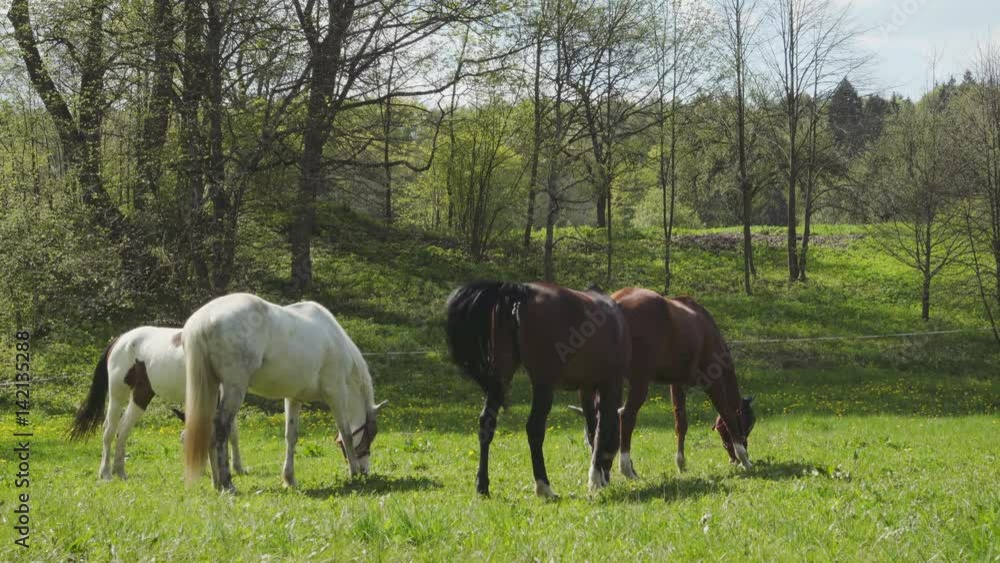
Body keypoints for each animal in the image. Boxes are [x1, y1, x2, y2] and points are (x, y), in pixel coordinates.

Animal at [69, 327, 244, 480]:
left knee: (123, 428)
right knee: (109, 430)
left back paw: (120, 472)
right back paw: (106, 473)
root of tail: (120, 339)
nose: (192, 472)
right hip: (118, 394)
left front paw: (238, 468)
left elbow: (233, 434)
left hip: (141, 395)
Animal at [182, 293, 386, 493]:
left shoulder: (294, 397)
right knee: (221, 427)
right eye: (370, 434)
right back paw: (227, 483)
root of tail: (204, 319)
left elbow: (291, 437)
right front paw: (353, 473)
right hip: (234, 387)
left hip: (214, 387)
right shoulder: (336, 393)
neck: (333, 339)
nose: (365, 471)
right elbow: (347, 434)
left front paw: (289, 479)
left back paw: (217, 482)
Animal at [446, 281, 630, 497]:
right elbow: (601, 428)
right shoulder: (609, 383)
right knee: (534, 428)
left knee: (486, 423)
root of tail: (519, 291)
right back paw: (544, 486)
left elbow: (593, 428)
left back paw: (482, 485)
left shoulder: (586, 389)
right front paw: (594, 478)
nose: (607, 477)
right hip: (544, 385)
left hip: (501, 377)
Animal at [611, 287, 756, 478]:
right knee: (626, 416)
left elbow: (681, 423)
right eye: (747, 426)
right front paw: (745, 459)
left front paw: (680, 463)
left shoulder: (677, 384)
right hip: (640, 381)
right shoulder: (713, 382)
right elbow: (728, 414)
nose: (734, 460)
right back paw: (627, 469)